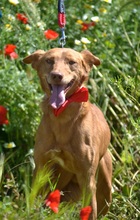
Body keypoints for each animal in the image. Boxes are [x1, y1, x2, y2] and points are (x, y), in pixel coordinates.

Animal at [23, 48, 112, 218]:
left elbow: (90, 211)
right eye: (49, 61)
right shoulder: (41, 169)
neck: (62, 117)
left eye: (72, 62)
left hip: (105, 188)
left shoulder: (87, 178)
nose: (57, 75)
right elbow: (33, 199)